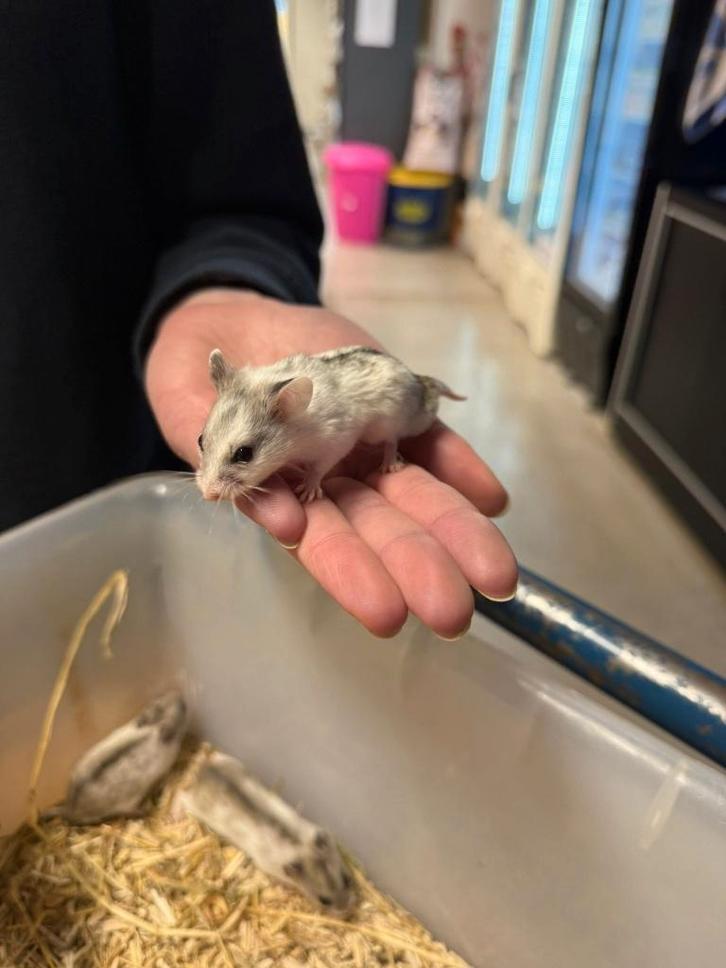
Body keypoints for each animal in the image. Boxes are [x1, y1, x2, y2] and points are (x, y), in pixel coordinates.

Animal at [46, 691, 187, 825]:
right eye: (181, 710)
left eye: (156, 703)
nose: (180, 695)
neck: (153, 727)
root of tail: (69, 808)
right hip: (127, 804)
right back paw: (145, 810)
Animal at [177, 750, 358, 917]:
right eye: (324, 900)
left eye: (347, 879)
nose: (347, 912)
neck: (301, 849)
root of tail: (202, 772)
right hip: (196, 806)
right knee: (182, 797)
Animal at [196, 346, 465, 503]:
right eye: (200, 440)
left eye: (244, 454)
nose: (207, 495)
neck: (297, 433)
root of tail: (419, 382)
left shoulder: (336, 443)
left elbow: (318, 470)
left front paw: (306, 492)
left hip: (385, 426)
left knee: (392, 441)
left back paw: (389, 465)